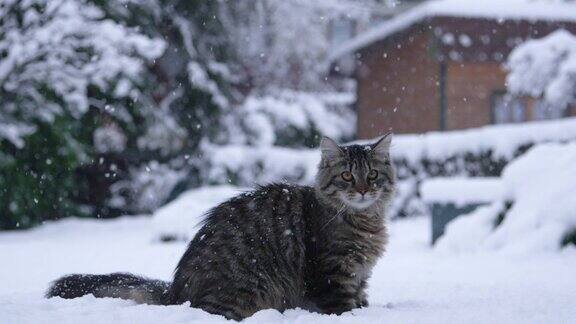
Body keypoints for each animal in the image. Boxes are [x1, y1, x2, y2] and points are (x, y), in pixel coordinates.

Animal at [47, 134, 394, 318]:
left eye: (372, 175)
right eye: (347, 176)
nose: (363, 190)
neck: (364, 221)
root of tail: (176, 289)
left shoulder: (359, 277)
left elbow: (361, 301)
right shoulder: (331, 274)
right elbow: (343, 307)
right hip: (244, 290)